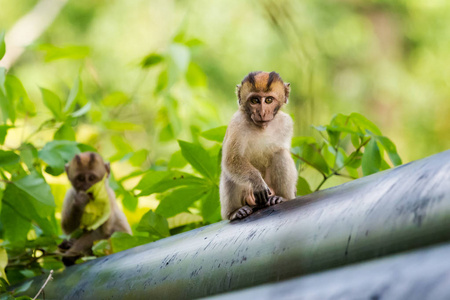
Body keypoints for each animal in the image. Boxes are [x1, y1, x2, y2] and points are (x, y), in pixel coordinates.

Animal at [220, 71, 298, 219]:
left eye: (268, 100)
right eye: (255, 100)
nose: (261, 113)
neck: (262, 127)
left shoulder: (287, 123)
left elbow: (281, 150)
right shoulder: (236, 123)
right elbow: (232, 159)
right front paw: (256, 181)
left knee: (280, 154)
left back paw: (281, 197)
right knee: (229, 173)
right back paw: (235, 211)